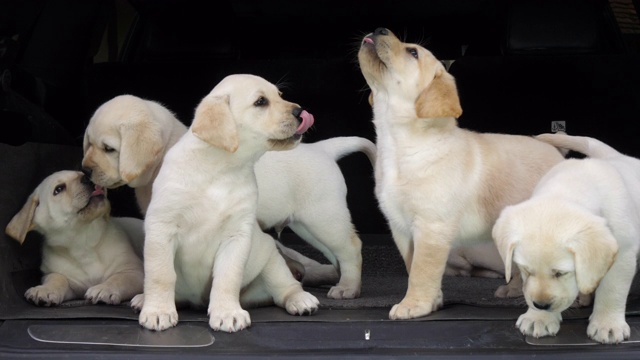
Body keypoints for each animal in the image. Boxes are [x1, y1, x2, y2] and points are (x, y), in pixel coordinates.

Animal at [4, 170, 144, 306]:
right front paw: (45, 289)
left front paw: (104, 288)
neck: (83, 241)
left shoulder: (134, 272)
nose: (87, 177)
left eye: (82, 173)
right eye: (58, 189)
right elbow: (56, 279)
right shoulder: (62, 278)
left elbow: (118, 279)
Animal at [82, 94, 378, 300]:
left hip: (323, 218)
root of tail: (323, 149)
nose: (85, 170)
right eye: (89, 144)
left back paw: (348, 288)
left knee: (352, 248)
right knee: (338, 255)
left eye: (108, 148)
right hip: (310, 226)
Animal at [358, 28, 568, 320]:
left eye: (413, 52)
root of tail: (557, 153)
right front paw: (432, 302)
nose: (380, 29)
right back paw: (514, 290)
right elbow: (414, 268)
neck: (401, 143)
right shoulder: (400, 228)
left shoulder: (431, 226)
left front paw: (414, 305)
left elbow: (422, 271)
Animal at [496, 132, 640, 344]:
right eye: (525, 270)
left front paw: (607, 325)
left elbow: (612, 290)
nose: (541, 305)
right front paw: (538, 318)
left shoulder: (623, 253)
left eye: (561, 273)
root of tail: (620, 156)